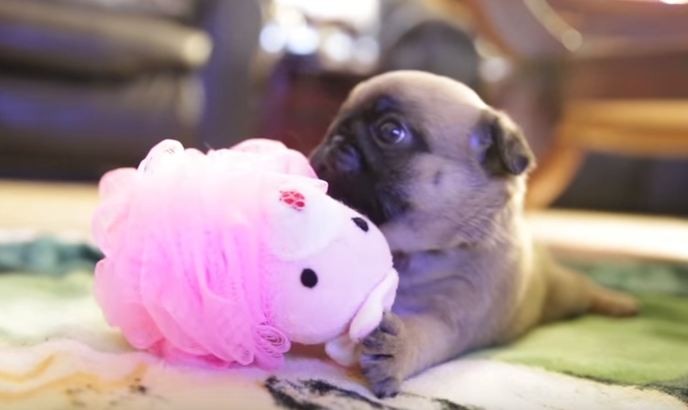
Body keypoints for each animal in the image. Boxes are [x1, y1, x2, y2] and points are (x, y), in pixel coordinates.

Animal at [310, 69, 636, 398]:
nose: (336, 137)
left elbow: (424, 333)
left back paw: (619, 302)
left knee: (585, 287)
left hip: (566, 293)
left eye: (391, 132)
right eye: (335, 122)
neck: (417, 251)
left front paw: (399, 350)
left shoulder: (452, 318)